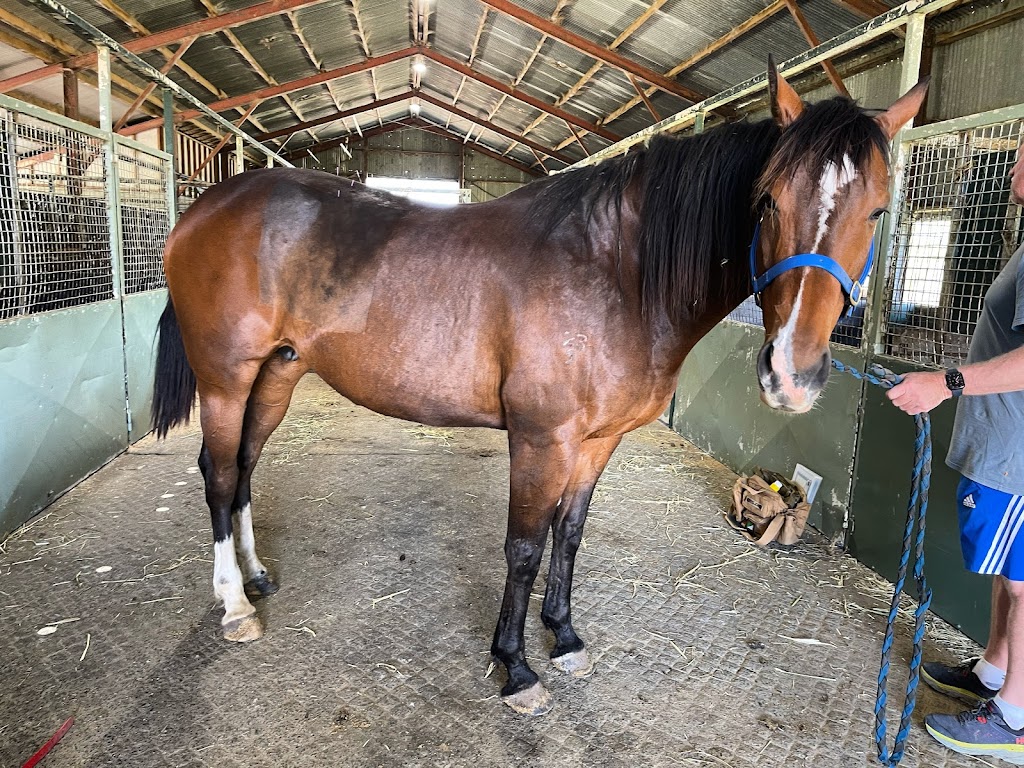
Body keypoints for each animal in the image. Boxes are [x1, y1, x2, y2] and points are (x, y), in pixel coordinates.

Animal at [149, 69, 929, 720]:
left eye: (877, 212)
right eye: (766, 202)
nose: (791, 375)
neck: (615, 271)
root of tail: (206, 207)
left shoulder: (596, 441)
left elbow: (569, 534)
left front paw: (565, 634)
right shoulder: (541, 437)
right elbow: (524, 547)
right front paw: (516, 667)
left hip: (275, 375)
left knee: (244, 468)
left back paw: (255, 576)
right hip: (226, 380)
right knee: (218, 476)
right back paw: (233, 607)